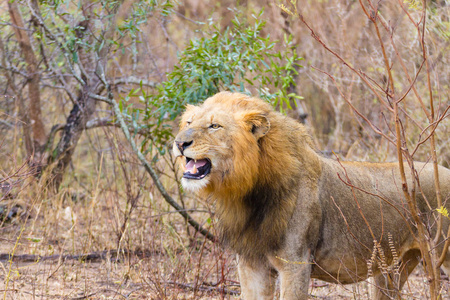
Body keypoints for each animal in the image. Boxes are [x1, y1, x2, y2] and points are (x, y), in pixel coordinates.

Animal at [172, 92, 450, 300]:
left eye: (214, 126)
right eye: (189, 123)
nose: (179, 143)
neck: (248, 193)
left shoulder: (295, 263)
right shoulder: (251, 264)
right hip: (390, 269)